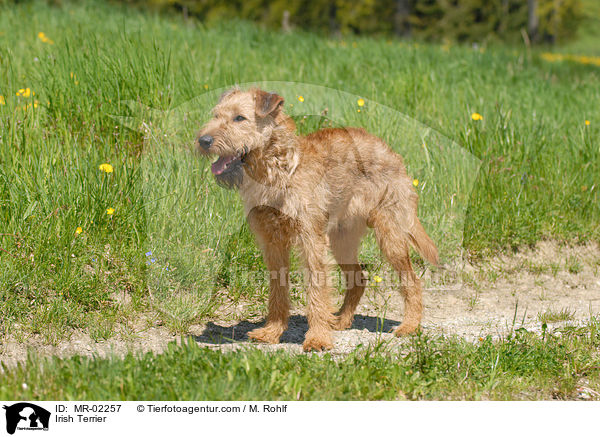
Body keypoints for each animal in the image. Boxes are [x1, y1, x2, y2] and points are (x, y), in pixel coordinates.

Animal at [196, 88, 436, 350]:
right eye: (216, 115)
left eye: (239, 118)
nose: (203, 141)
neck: (277, 171)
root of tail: (388, 150)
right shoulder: (272, 243)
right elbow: (278, 291)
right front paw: (272, 331)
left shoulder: (311, 240)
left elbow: (316, 290)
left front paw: (318, 337)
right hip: (342, 241)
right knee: (358, 279)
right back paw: (340, 321)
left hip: (390, 236)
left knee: (412, 281)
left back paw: (409, 326)